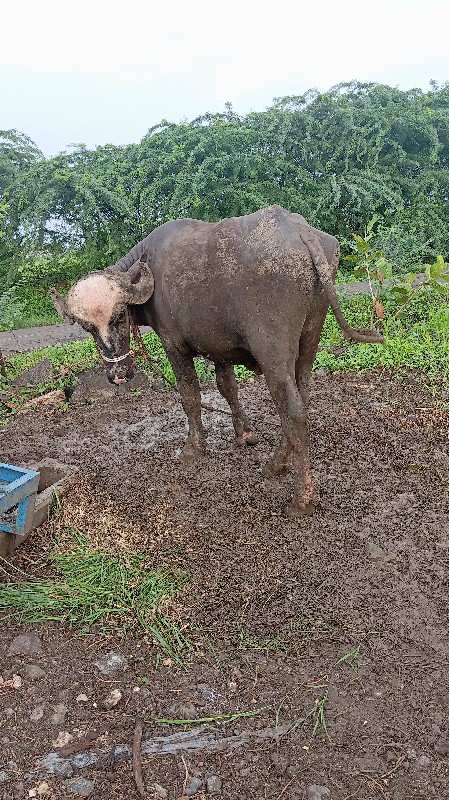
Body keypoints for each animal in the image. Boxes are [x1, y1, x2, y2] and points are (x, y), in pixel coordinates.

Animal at [52, 206, 382, 516]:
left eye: (120, 316)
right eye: (87, 328)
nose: (118, 373)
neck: (152, 274)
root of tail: (298, 228)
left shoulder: (175, 347)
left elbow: (190, 396)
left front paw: (193, 447)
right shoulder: (219, 349)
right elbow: (227, 388)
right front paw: (245, 434)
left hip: (272, 349)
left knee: (293, 410)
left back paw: (301, 498)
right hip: (310, 337)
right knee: (303, 396)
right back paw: (277, 463)